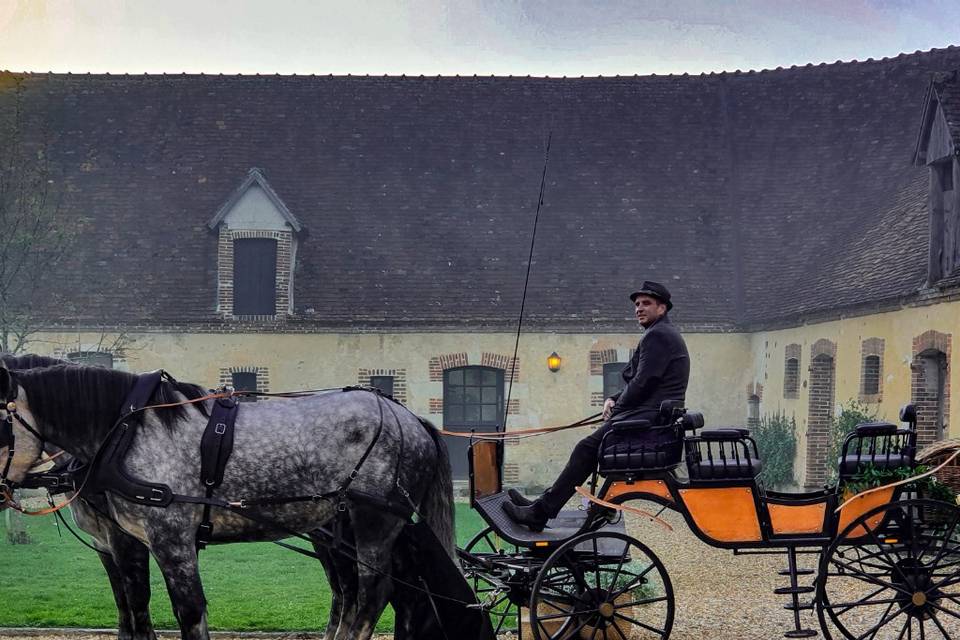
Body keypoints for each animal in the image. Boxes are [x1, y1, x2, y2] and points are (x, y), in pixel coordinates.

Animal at [0, 362, 456, 640]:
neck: (127, 432)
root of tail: (410, 419)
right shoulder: (122, 542)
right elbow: (132, 608)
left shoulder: (167, 540)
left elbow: (184, 612)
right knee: (371, 591)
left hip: (374, 522)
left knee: (371, 593)